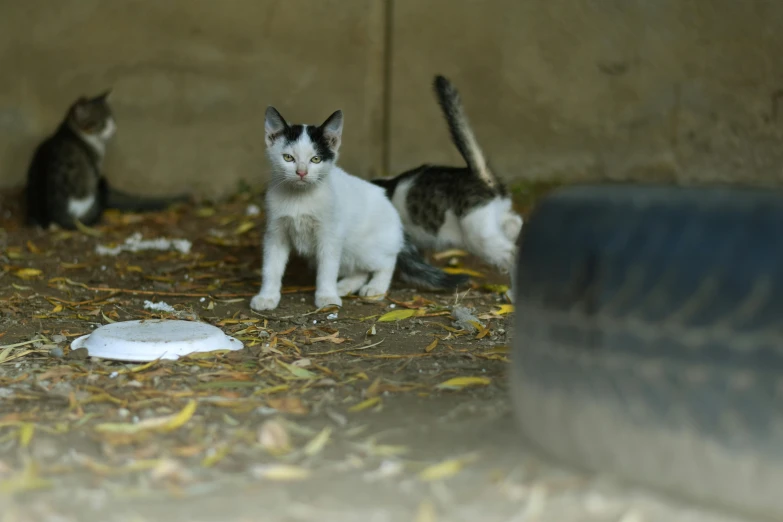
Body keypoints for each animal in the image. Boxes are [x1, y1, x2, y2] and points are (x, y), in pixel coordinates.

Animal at [250, 103, 466, 310]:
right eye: (288, 157)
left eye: (315, 159)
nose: (301, 173)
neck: (300, 198)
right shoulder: (275, 232)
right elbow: (271, 267)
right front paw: (267, 296)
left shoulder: (330, 234)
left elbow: (327, 267)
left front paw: (327, 296)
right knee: (359, 270)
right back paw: (345, 285)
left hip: (365, 246)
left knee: (387, 260)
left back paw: (376, 287)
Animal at [372, 74, 524, 298]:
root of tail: (480, 175)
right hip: (493, 219)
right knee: (515, 223)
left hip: (478, 233)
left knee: (512, 252)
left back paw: (513, 291)